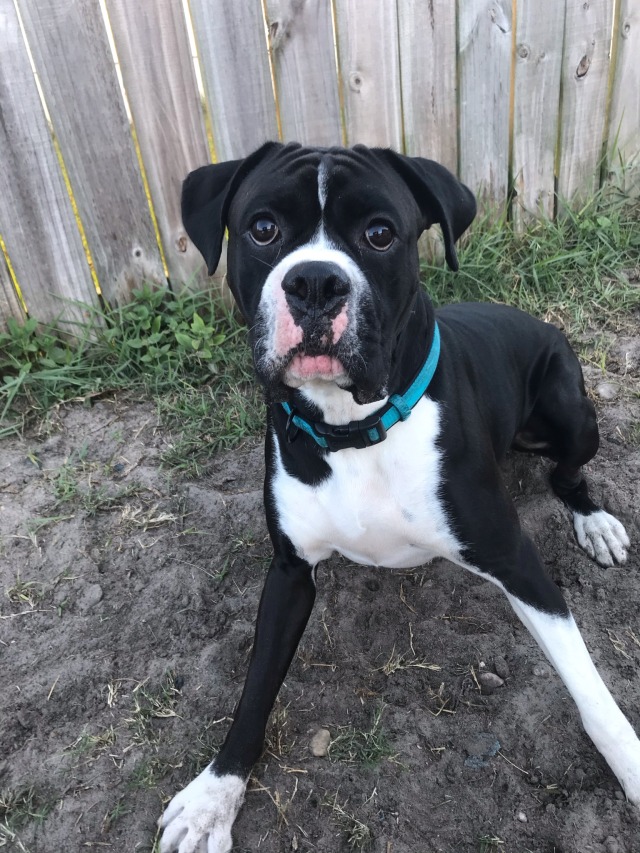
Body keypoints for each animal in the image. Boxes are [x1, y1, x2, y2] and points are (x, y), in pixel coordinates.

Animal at [158, 143, 636, 848]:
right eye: (263, 228)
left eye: (380, 234)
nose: (315, 282)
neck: (355, 429)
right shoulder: (289, 573)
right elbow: (254, 689)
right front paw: (214, 795)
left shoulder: (516, 561)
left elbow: (590, 688)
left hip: (572, 411)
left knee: (566, 474)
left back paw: (594, 520)